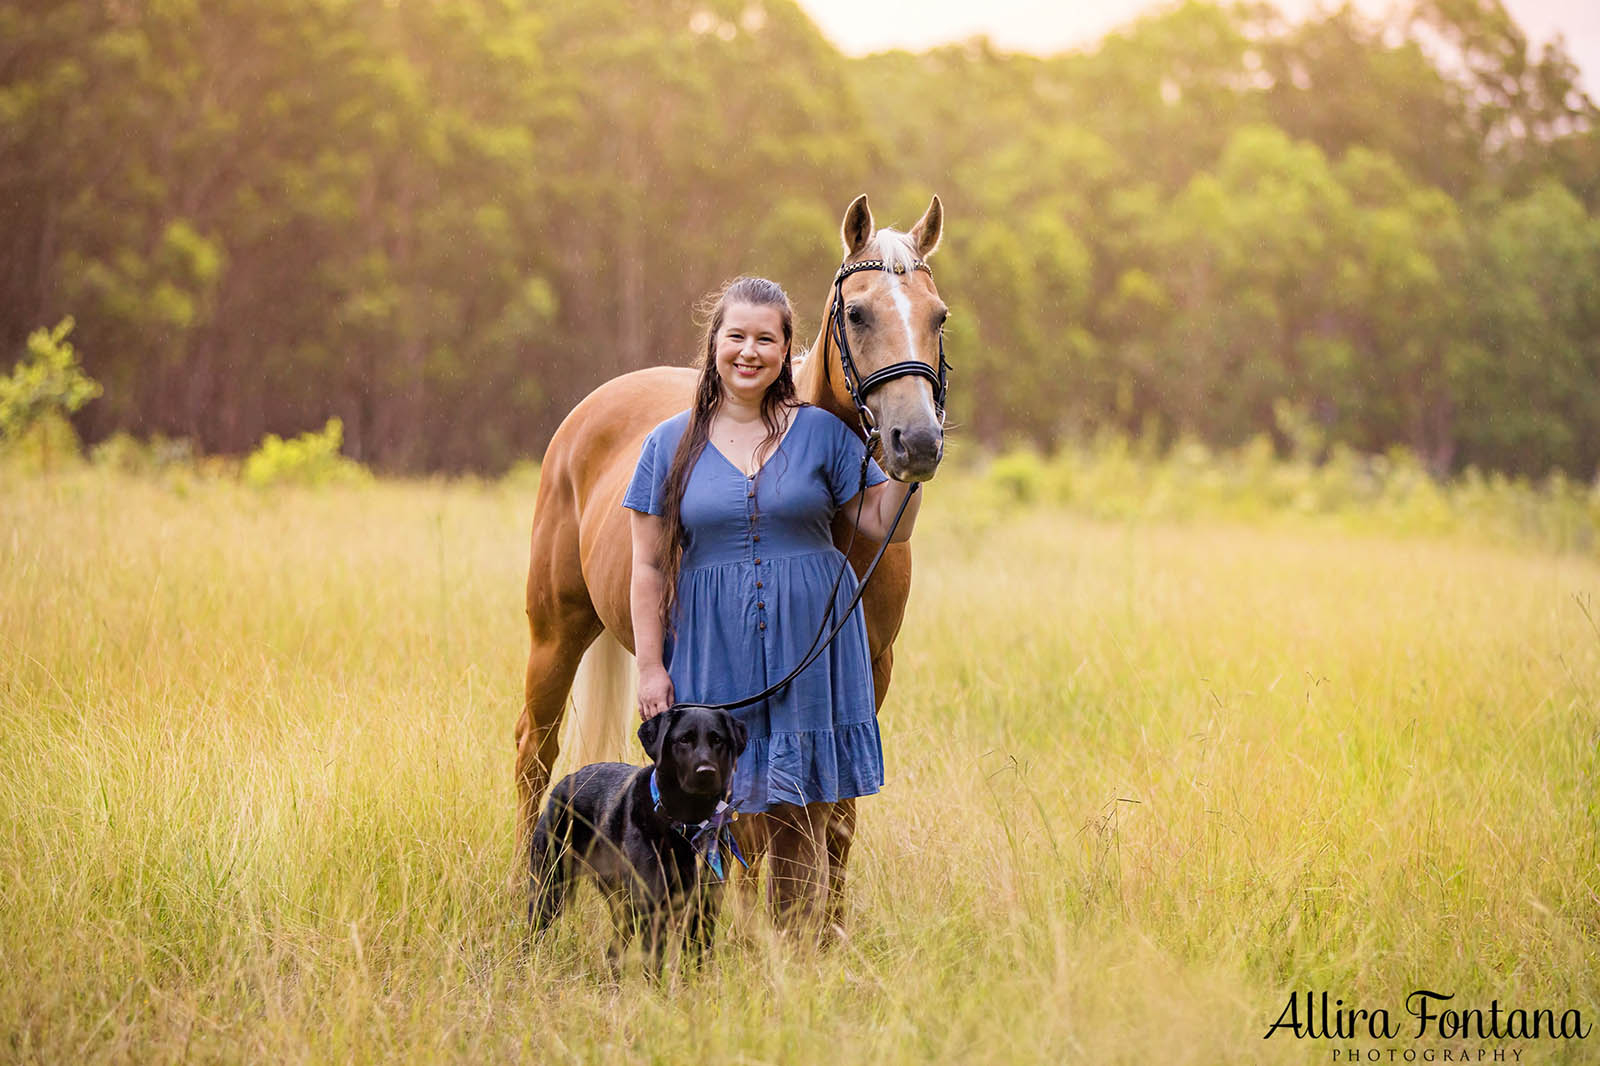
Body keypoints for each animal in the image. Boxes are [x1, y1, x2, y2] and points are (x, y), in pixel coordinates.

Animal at [518, 192, 947, 921]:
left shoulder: (869, 672)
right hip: (556, 633)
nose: (915, 441)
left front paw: (825, 931)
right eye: (858, 313)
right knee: (533, 753)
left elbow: (834, 820)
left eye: (938, 315)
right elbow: (756, 821)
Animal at [528, 701, 745, 966]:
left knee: (614, 951)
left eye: (717, 739)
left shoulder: (703, 909)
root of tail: (564, 782)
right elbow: (654, 964)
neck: (688, 824)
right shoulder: (652, 909)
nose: (706, 772)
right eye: (684, 739)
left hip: (621, 905)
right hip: (549, 887)